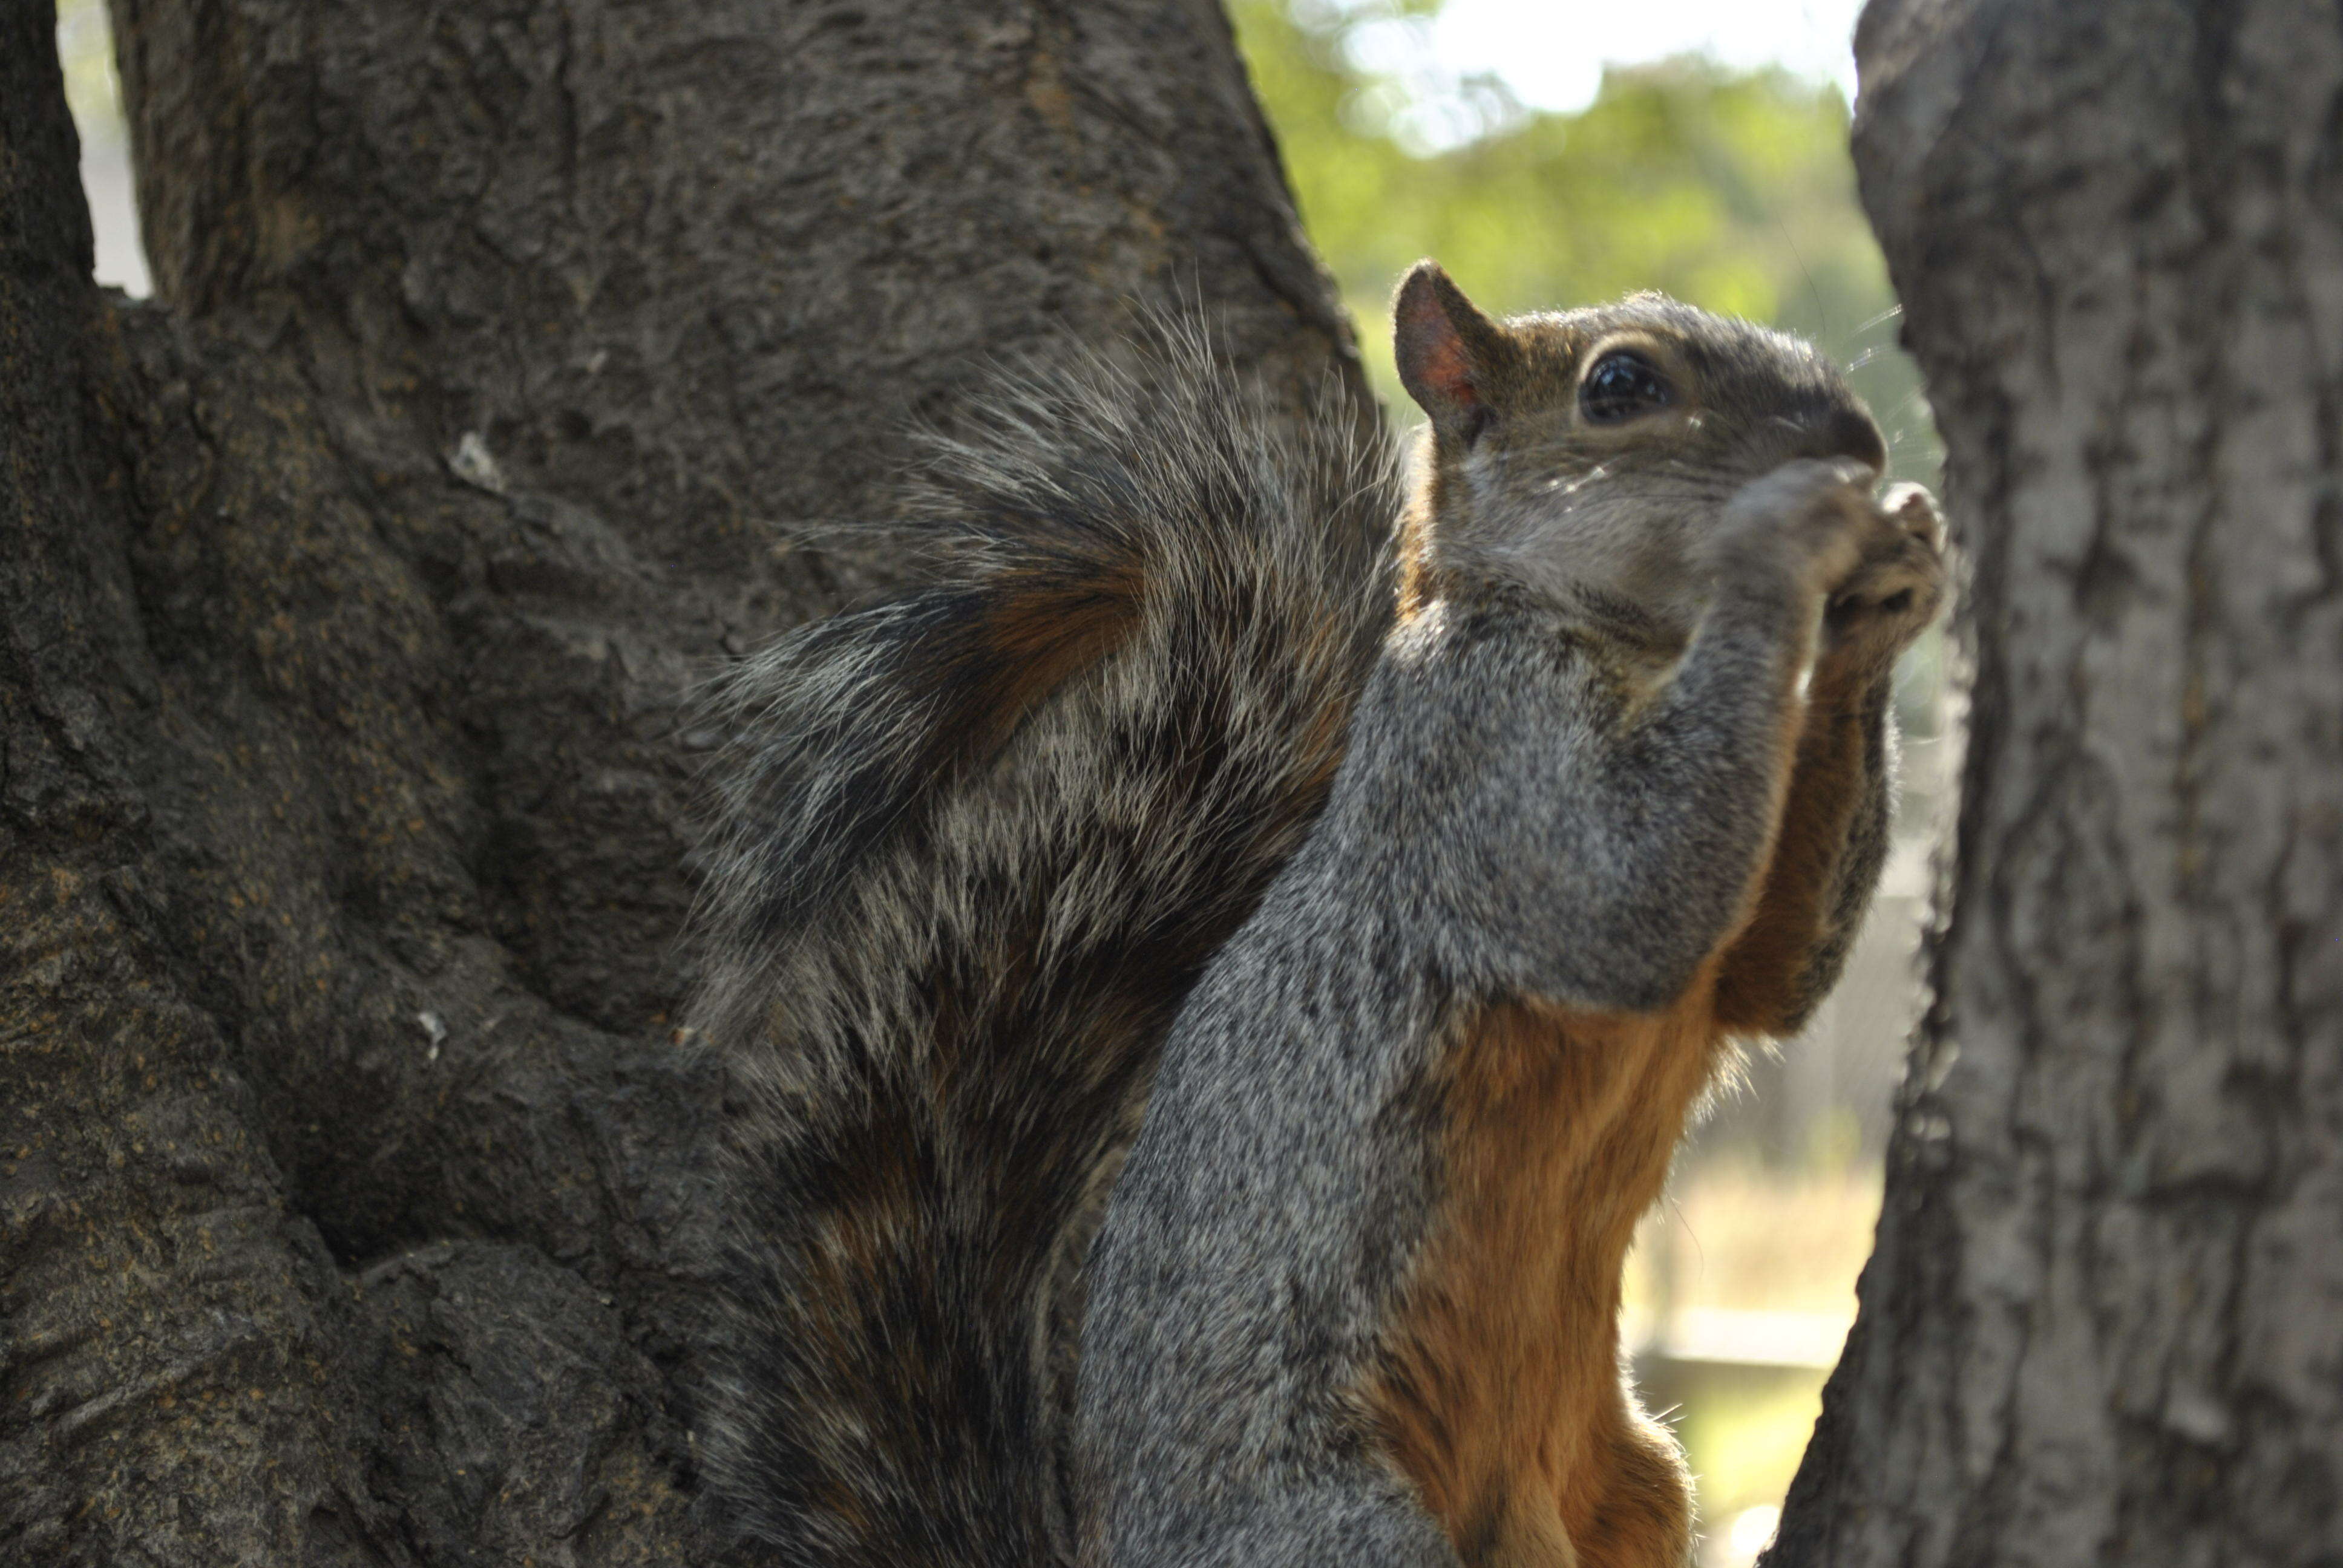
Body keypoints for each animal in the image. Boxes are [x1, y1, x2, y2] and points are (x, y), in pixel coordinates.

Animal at [693, 260, 1940, 1566]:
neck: (1633, 649)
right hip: (1335, 1527)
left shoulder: (1719, 950)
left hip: (1636, 1488)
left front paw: (1894, 580)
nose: (1857, 441)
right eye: (1619, 388)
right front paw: (1787, 540)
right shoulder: (1474, 755)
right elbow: (1624, 910)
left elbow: (1774, 975)